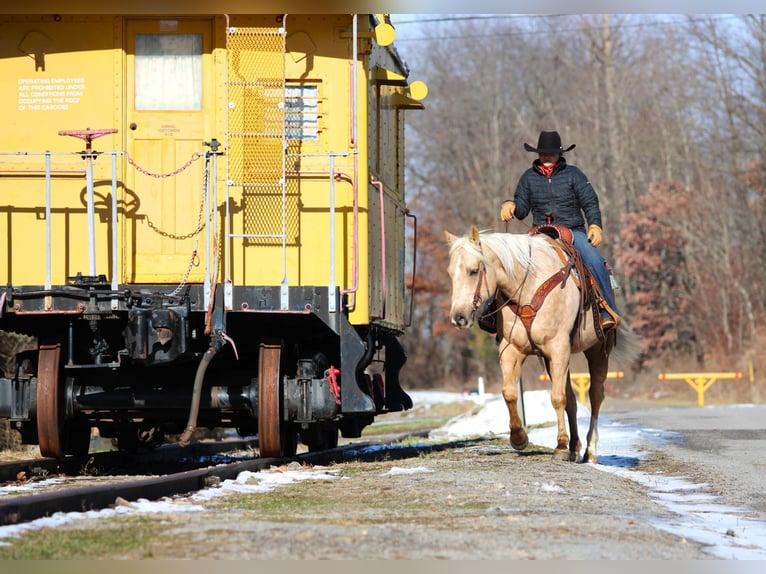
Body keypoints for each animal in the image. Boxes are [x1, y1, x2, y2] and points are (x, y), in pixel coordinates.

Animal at [445, 224, 638, 463]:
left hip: (598, 351)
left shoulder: (558, 348)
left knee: (595, 396)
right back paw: (575, 447)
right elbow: (510, 392)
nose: (458, 318)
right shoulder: (512, 349)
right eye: (450, 273)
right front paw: (519, 437)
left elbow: (557, 398)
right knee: (572, 400)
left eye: (473, 271)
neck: (529, 285)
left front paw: (561, 446)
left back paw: (589, 451)